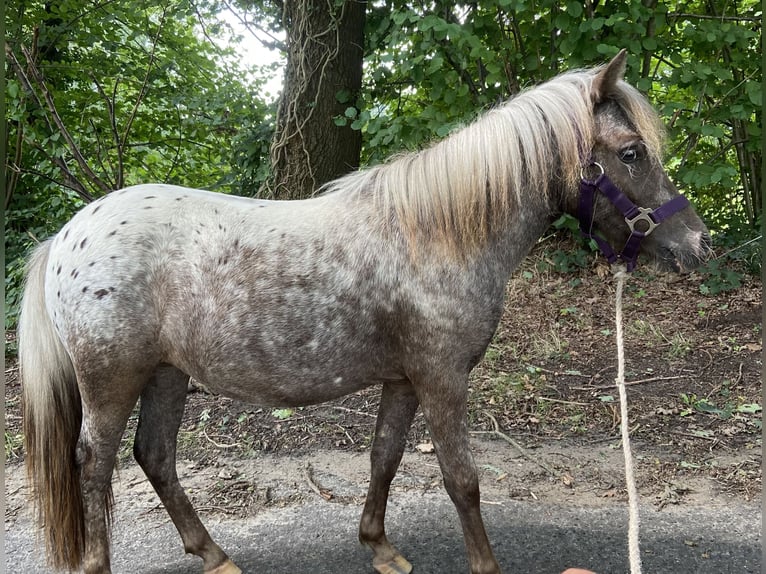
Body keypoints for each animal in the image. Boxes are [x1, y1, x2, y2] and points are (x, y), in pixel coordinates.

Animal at [19, 50, 712, 574]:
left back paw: (213, 554)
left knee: (155, 458)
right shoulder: (441, 379)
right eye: (631, 151)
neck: (435, 235)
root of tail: (67, 236)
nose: (695, 244)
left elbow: (386, 456)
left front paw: (379, 546)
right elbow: (462, 479)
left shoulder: (405, 379)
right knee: (95, 466)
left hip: (167, 373)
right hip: (112, 382)